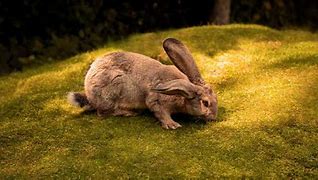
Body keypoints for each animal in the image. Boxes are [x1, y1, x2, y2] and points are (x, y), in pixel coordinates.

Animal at [68, 37, 217, 129]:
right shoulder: (156, 100)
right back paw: (129, 113)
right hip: (113, 88)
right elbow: (160, 112)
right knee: (103, 112)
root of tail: (89, 95)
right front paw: (172, 125)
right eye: (205, 103)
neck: (182, 93)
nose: (214, 118)